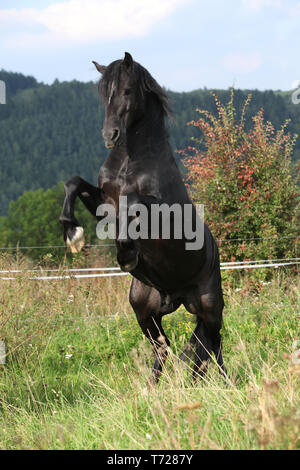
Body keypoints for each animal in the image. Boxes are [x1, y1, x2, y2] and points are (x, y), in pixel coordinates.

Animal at [59, 52, 226, 382]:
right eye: (104, 95)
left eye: (126, 91)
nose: (110, 135)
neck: (130, 163)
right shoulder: (103, 203)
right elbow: (74, 183)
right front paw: (72, 233)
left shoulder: (159, 211)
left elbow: (133, 203)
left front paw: (126, 252)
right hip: (144, 310)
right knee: (165, 348)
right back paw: (152, 389)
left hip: (210, 307)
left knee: (214, 345)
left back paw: (227, 384)